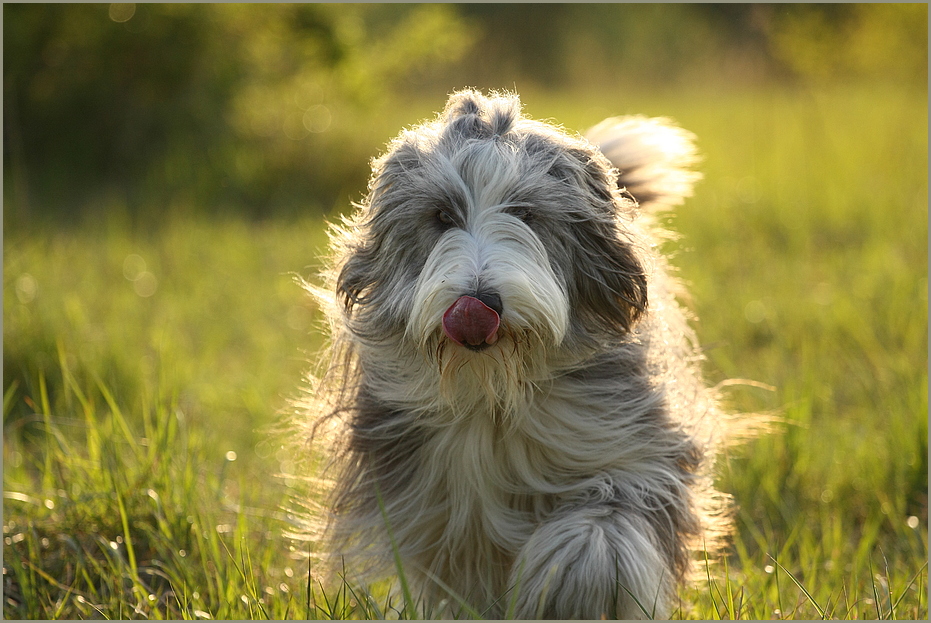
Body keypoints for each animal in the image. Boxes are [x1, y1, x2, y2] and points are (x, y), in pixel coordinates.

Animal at [302, 89, 740, 620]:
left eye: (527, 213)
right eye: (442, 216)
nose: (478, 304)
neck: (495, 392)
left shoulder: (635, 443)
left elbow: (607, 518)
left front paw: (574, 583)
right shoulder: (433, 502)